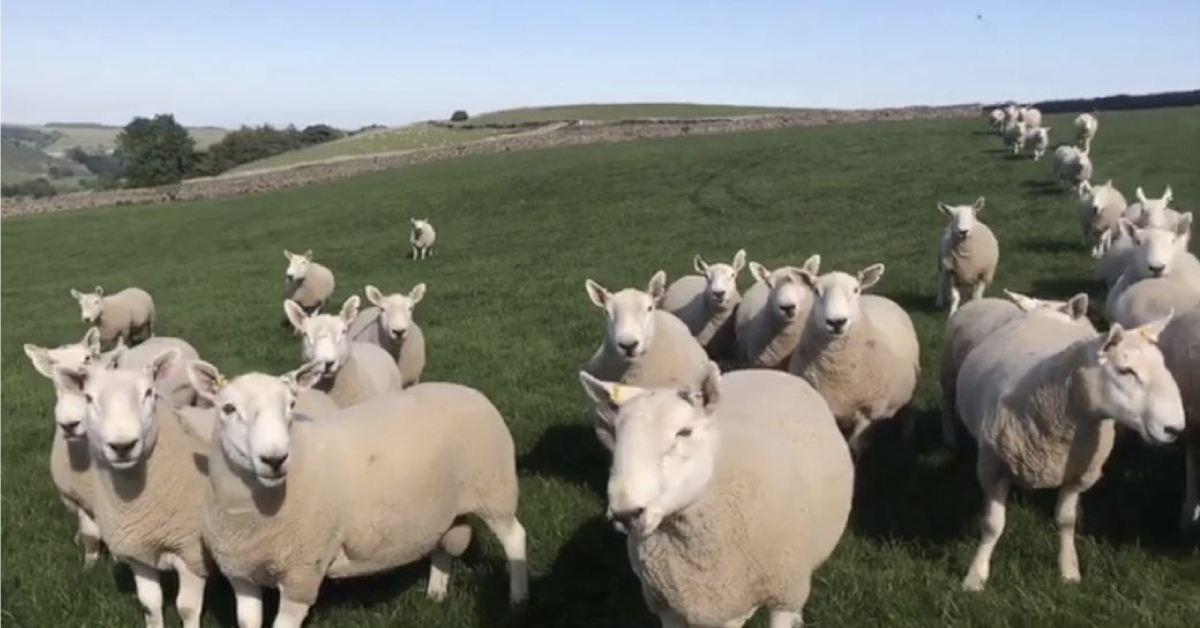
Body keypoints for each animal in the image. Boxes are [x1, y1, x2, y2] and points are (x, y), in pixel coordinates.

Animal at [53, 349, 212, 628]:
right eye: (89, 398)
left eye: (149, 392)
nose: (122, 446)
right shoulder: (138, 552)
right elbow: (150, 604)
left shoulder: (191, 553)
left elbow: (187, 609)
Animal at [186, 361, 528, 628]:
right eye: (228, 408)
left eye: (292, 405)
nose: (275, 459)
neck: (249, 514)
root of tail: (469, 391)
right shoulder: (240, 573)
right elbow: (248, 621)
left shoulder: (302, 572)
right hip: (443, 505)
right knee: (443, 545)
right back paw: (436, 593)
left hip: (495, 491)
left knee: (515, 539)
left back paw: (518, 599)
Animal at [579, 364, 852, 628]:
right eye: (616, 435)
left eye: (684, 432)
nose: (626, 514)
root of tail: (769, 371)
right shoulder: (668, 607)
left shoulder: (784, 592)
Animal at [788, 264, 920, 454]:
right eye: (815, 291)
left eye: (856, 289)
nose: (836, 322)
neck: (839, 372)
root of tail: (876, 296)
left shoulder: (869, 411)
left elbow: (856, 446)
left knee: (908, 408)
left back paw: (907, 437)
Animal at [956, 313, 1184, 590]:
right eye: (1125, 370)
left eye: (1163, 365)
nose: (1174, 429)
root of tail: (1051, 312)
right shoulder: (992, 470)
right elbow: (992, 525)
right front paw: (975, 576)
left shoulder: (1078, 474)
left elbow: (1066, 521)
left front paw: (1068, 569)